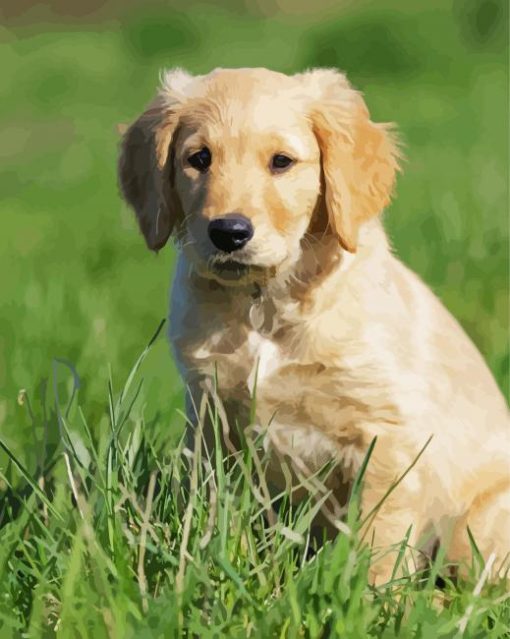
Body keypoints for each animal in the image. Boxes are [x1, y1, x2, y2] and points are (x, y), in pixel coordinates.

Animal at [119, 66, 510, 584]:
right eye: (198, 159)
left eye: (281, 162)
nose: (229, 233)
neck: (264, 305)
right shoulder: (212, 420)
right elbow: (219, 514)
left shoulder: (385, 434)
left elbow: (380, 538)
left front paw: (372, 598)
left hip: (476, 528)